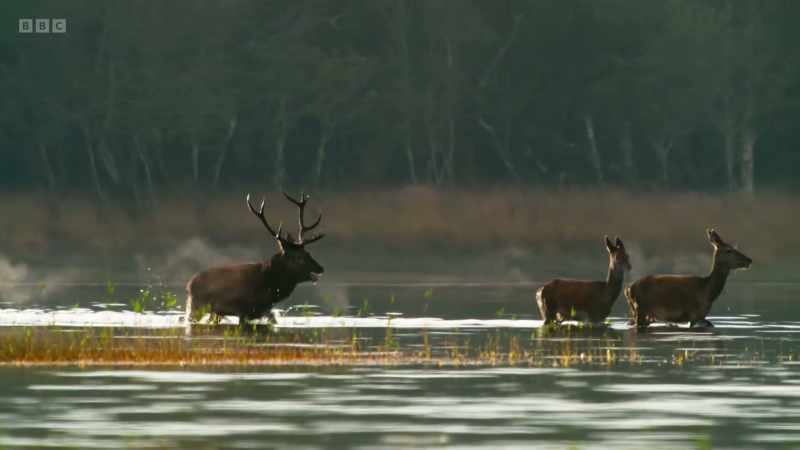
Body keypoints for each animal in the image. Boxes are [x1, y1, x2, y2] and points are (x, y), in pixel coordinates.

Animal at [185, 192, 325, 328]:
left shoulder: (263, 310)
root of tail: (189, 285)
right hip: (197, 306)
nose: (321, 268)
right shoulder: (244, 310)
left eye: (308, 253)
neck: (269, 287)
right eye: (299, 258)